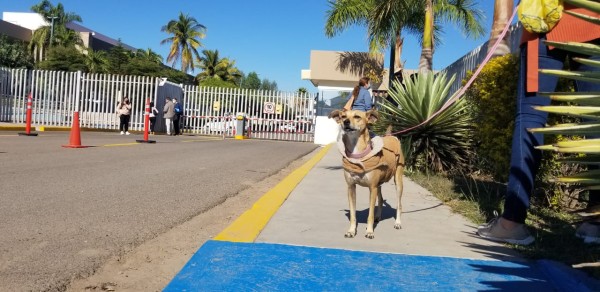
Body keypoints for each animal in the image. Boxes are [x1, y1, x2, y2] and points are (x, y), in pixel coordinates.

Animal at [330, 108, 406, 238]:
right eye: (343, 116)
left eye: (357, 116)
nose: (345, 122)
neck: (357, 155)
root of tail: (390, 136)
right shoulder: (351, 187)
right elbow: (353, 214)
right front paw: (351, 231)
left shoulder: (372, 188)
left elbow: (369, 214)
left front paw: (369, 231)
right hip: (379, 184)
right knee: (381, 200)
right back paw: (378, 217)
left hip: (398, 180)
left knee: (399, 204)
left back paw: (398, 223)